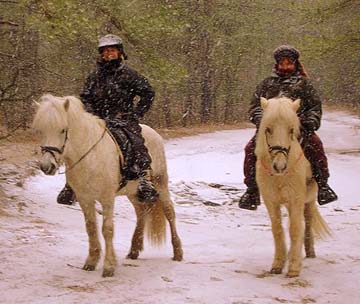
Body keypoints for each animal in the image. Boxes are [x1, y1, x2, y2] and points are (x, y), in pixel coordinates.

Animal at [32, 94, 183, 276]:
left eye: (62, 129)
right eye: (40, 131)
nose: (47, 166)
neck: (91, 157)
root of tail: (153, 133)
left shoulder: (107, 198)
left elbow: (107, 229)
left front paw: (109, 267)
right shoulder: (85, 199)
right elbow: (91, 228)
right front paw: (91, 261)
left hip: (161, 183)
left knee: (169, 212)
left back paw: (178, 253)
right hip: (132, 192)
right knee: (141, 213)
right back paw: (134, 250)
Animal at [256, 96, 330, 276]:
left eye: (291, 130)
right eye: (268, 129)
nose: (280, 166)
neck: (279, 177)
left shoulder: (296, 199)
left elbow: (296, 228)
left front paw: (294, 267)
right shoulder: (271, 201)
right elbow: (277, 229)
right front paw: (278, 264)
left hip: (309, 200)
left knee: (307, 222)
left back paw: (309, 252)